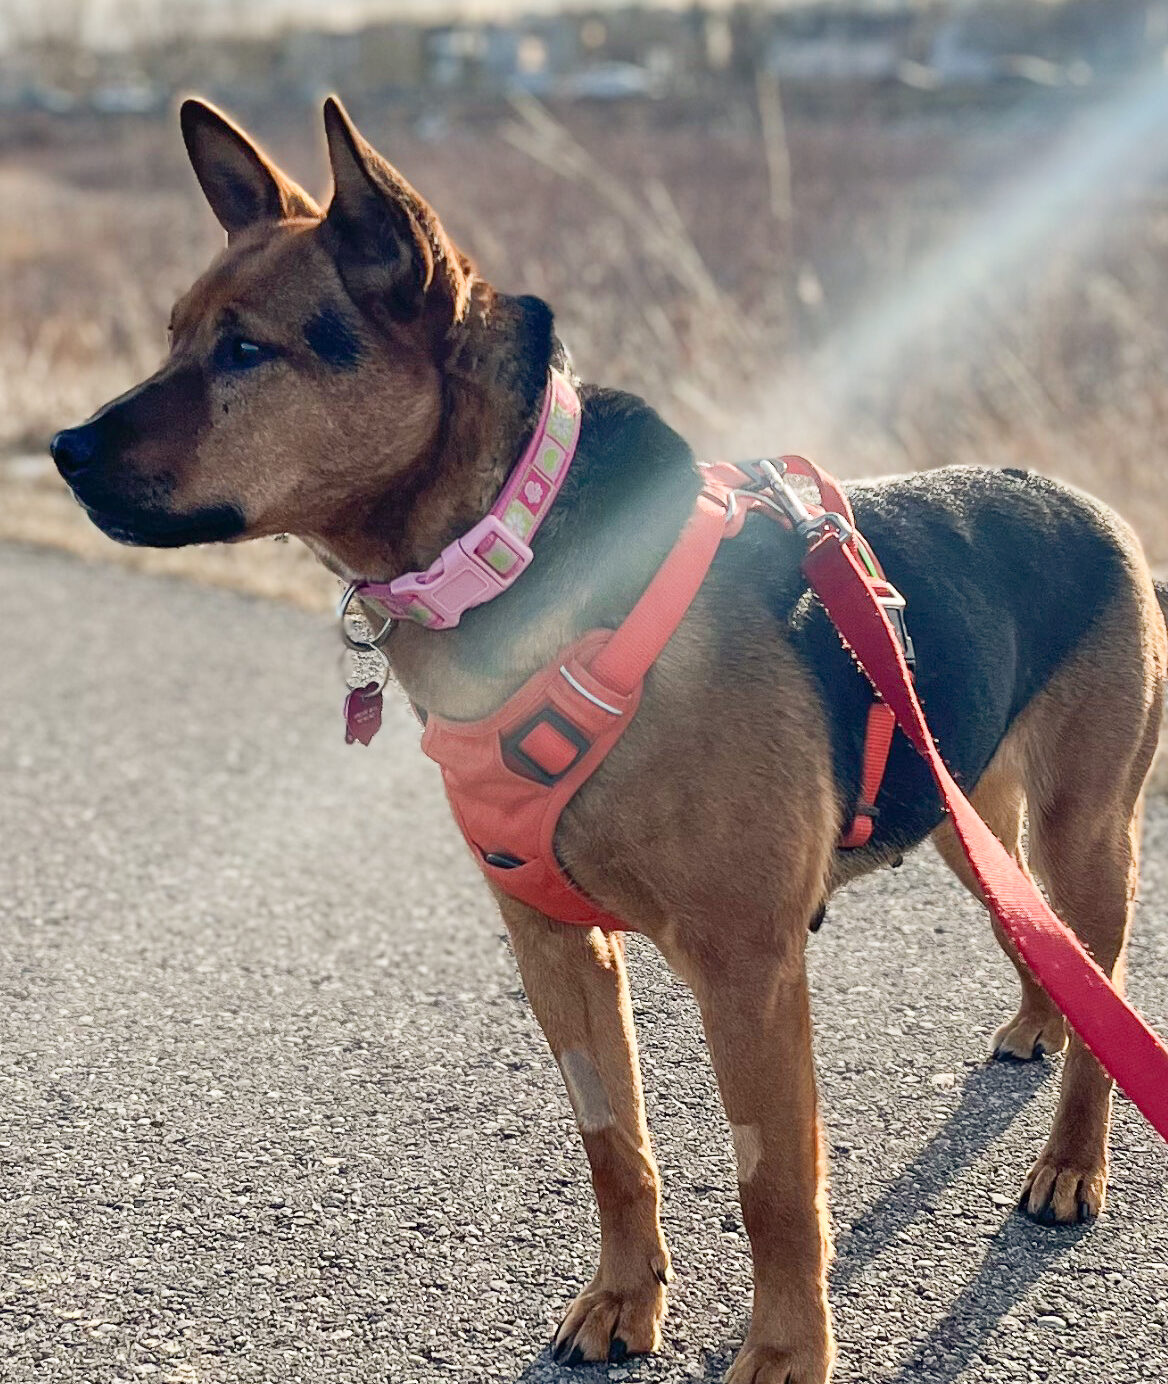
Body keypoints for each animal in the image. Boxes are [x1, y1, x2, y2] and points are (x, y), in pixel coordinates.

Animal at [50, 100, 1162, 1384]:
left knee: (1104, 989)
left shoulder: (747, 969)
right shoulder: (555, 948)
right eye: (176, 336)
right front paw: (625, 1300)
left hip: (1087, 832)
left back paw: (1070, 1161)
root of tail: (1086, 500)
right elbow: (612, 1148)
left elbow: (773, 1187)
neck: (514, 551)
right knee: (1031, 927)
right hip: (958, 806)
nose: (61, 448)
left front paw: (785, 1353)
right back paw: (1039, 1019)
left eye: (244, 352)